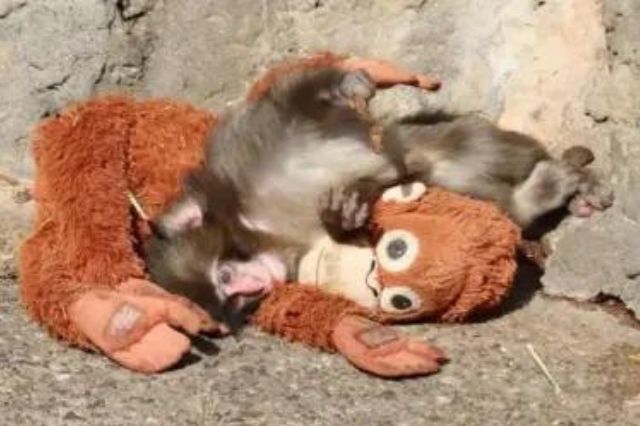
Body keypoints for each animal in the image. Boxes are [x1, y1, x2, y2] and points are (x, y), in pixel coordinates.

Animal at [144, 63, 613, 331]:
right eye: (232, 299)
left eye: (225, 279)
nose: (256, 286)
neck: (260, 224)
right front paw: (342, 213)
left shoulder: (244, 150)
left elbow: (294, 99)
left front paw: (349, 82)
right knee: (480, 194)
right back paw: (543, 190)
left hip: (456, 138)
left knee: (456, 148)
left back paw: (566, 175)